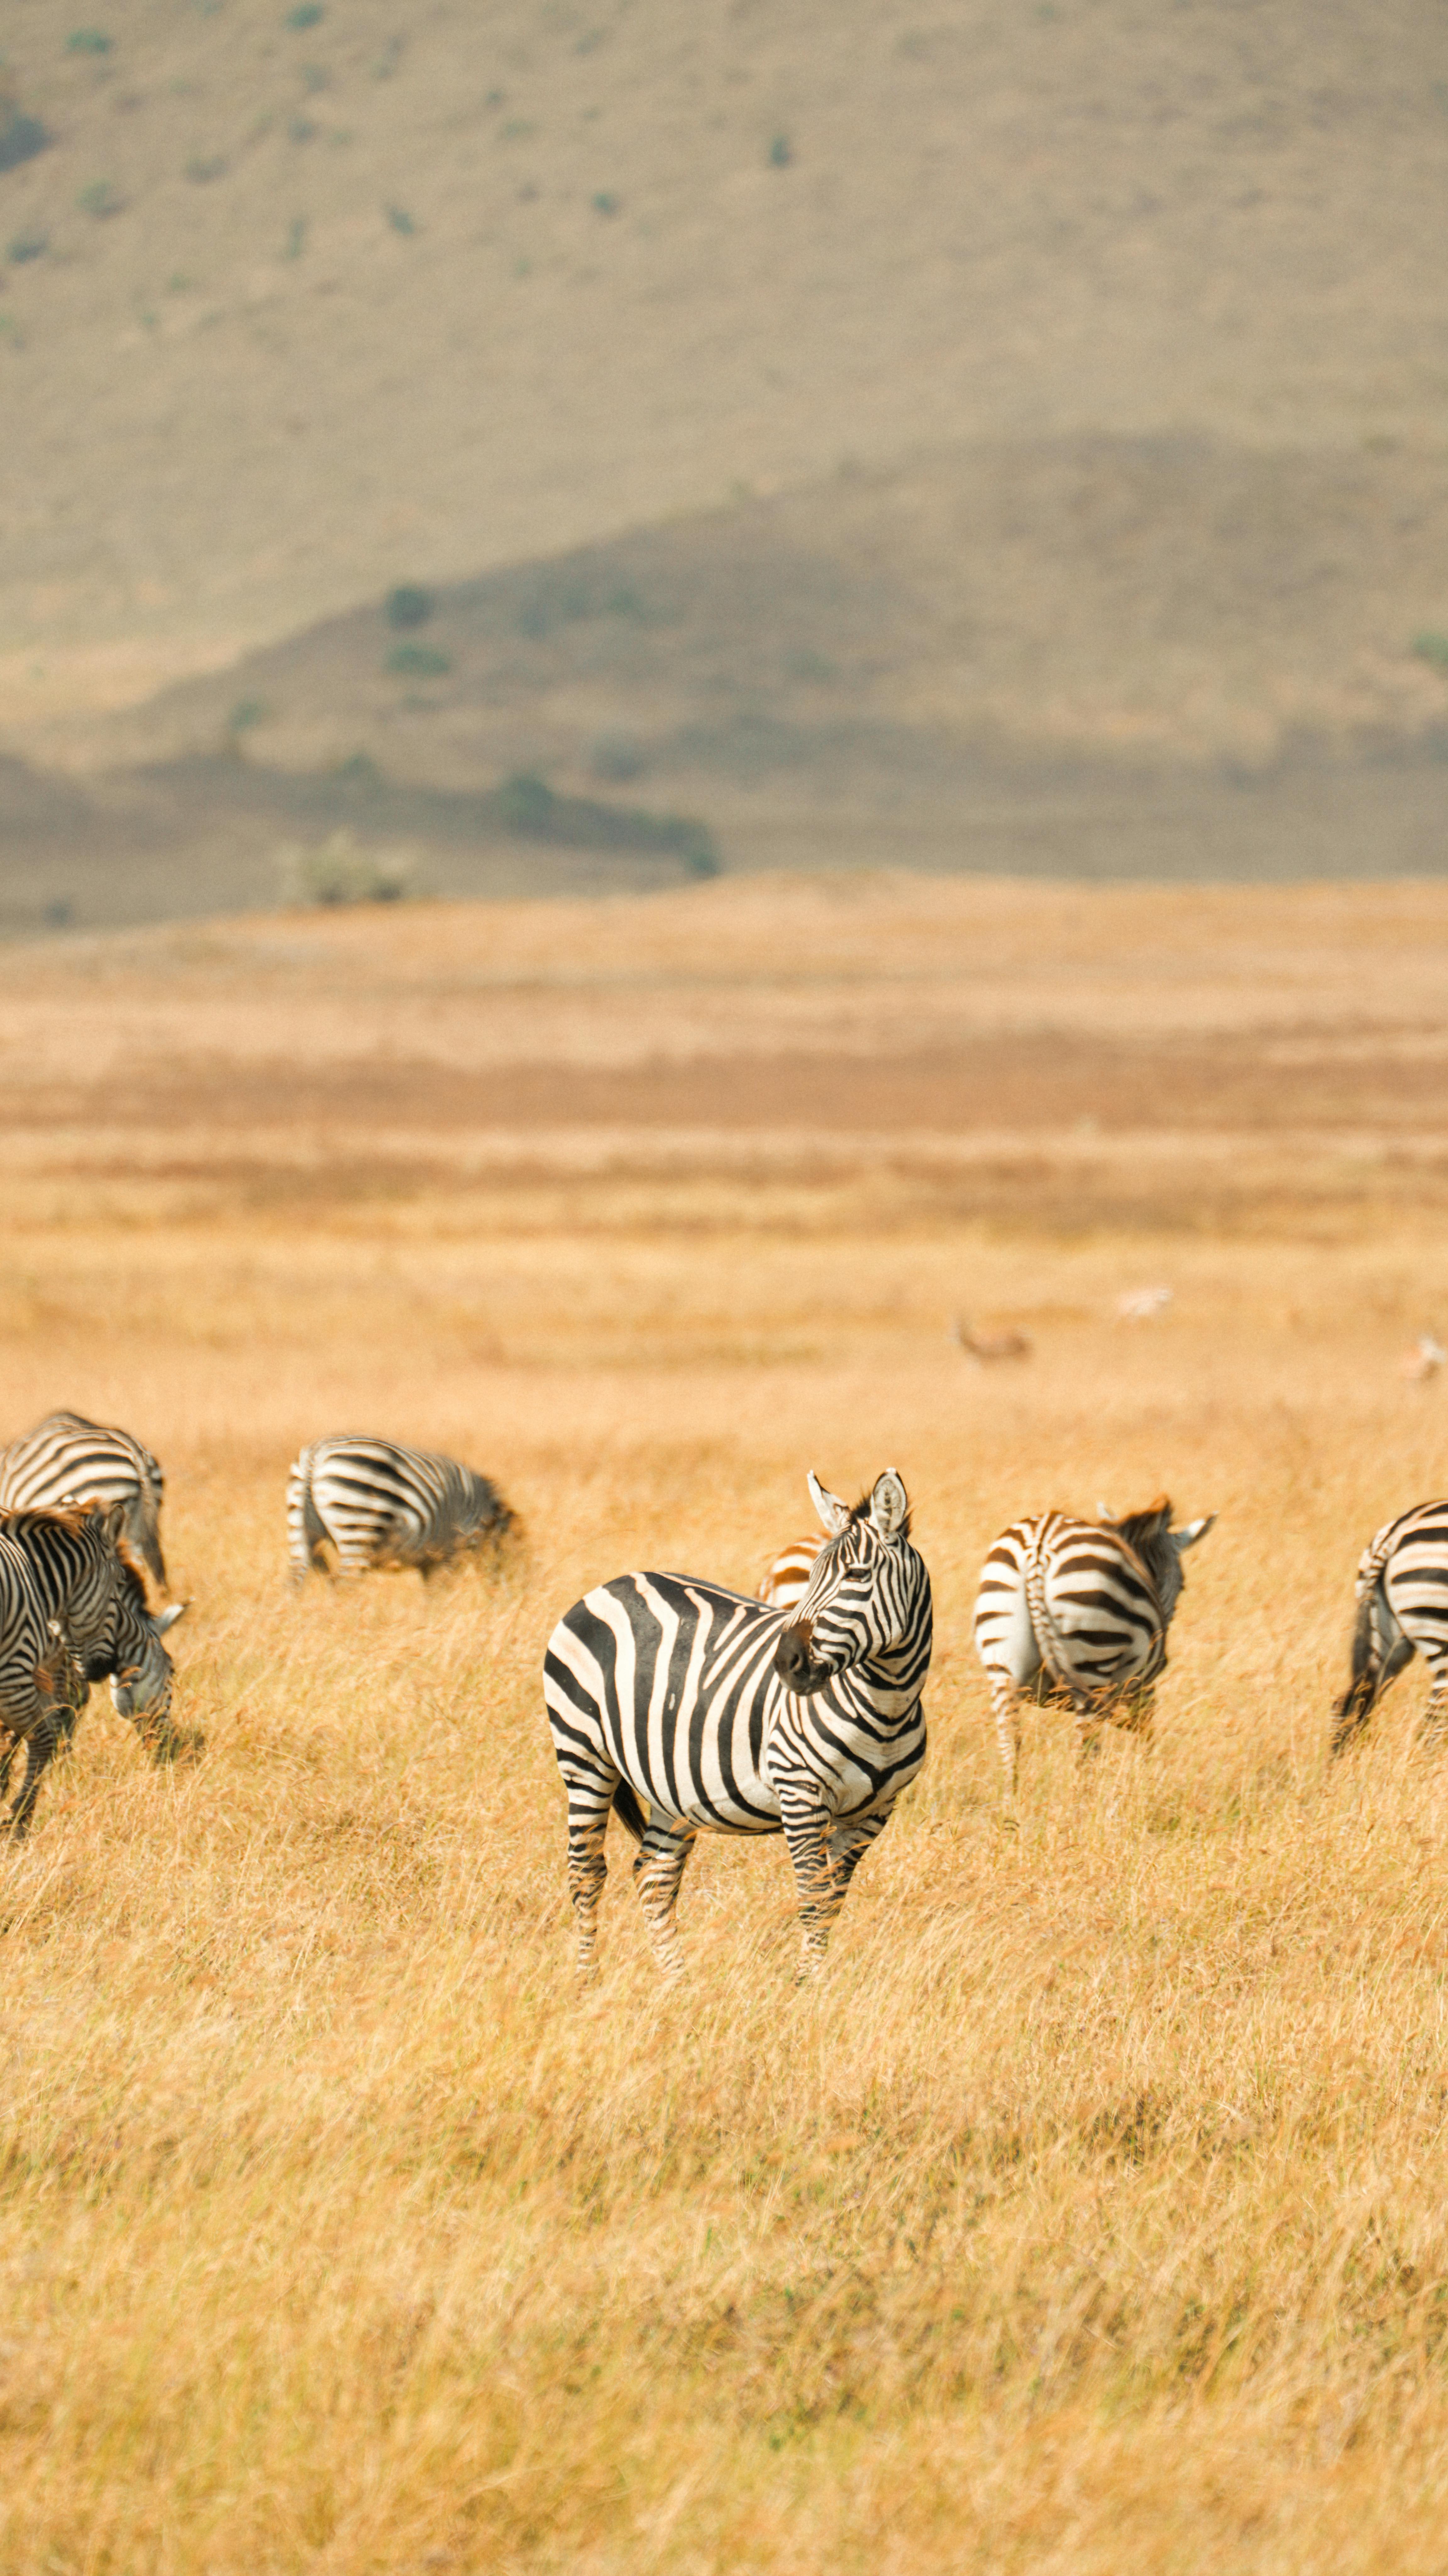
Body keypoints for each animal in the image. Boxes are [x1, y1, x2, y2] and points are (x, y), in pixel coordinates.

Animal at [0, 1502, 184, 1836]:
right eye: (173, 1673)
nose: (169, 1751)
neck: (41, 1580)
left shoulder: (41, 1666)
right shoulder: (22, 1667)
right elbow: (48, 1726)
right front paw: (18, 1817)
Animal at [287, 1435, 516, 1583]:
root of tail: (316, 1455)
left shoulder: (431, 1561)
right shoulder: (451, 1552)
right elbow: (440, 1591)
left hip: (300, 1525)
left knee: (296, 1577)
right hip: (358, 1523)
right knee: (345, 1582)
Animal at [544, 1468, 932, 1981]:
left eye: (857, 1575)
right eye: (810, 1576)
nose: (785, 1663)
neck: (887, 1705)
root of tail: (611, 1583)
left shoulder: (874, 1812)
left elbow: (832, 1900)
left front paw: (815, 1983)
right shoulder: (799, 1790)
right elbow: (813, 1897)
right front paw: (806, 1988)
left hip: (671, 1783)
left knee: (653, 1875)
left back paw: (677, 1985)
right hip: (583, 1752)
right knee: (586, 1871)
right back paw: (586, 1981)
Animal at [973, 1496, 1216, 1794]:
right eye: (1183, 1586)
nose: (1165, 1659)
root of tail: (1040, 1543)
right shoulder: (1142, 1687)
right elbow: (1146, 1736)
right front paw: (1145, 1780)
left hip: (1003, 1664)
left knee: (1011, 1746)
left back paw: (1013, 1801)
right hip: (1093, 1659)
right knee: (1085, 1751)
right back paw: (1082, 1803)